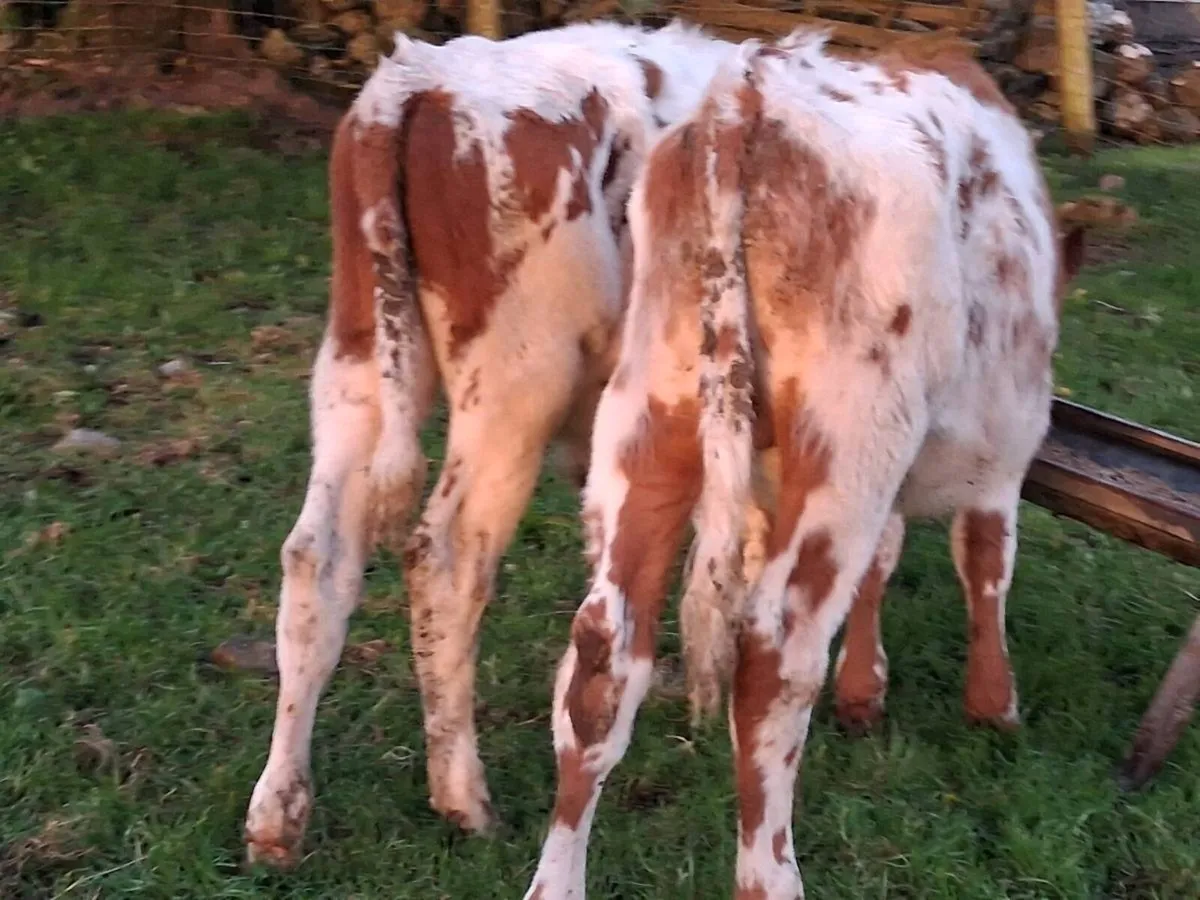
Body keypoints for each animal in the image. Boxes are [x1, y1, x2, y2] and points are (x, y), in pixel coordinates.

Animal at [242, 21, 743, 866]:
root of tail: (416, 77)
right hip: (516, 386)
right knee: (445, 559)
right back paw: (463, 800)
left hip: (356, 361)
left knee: (317, 559)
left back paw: (278, 816)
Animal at [524, 30, 1084, 900]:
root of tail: (745, 102)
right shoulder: (1003, 456)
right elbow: (985, 564)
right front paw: (994, 707)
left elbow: (881, 563)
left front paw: (866, 689)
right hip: (849, 438)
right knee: (771, 661)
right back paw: (770, 875)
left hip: (650, 417)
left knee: (603, 654)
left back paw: (557, 881)